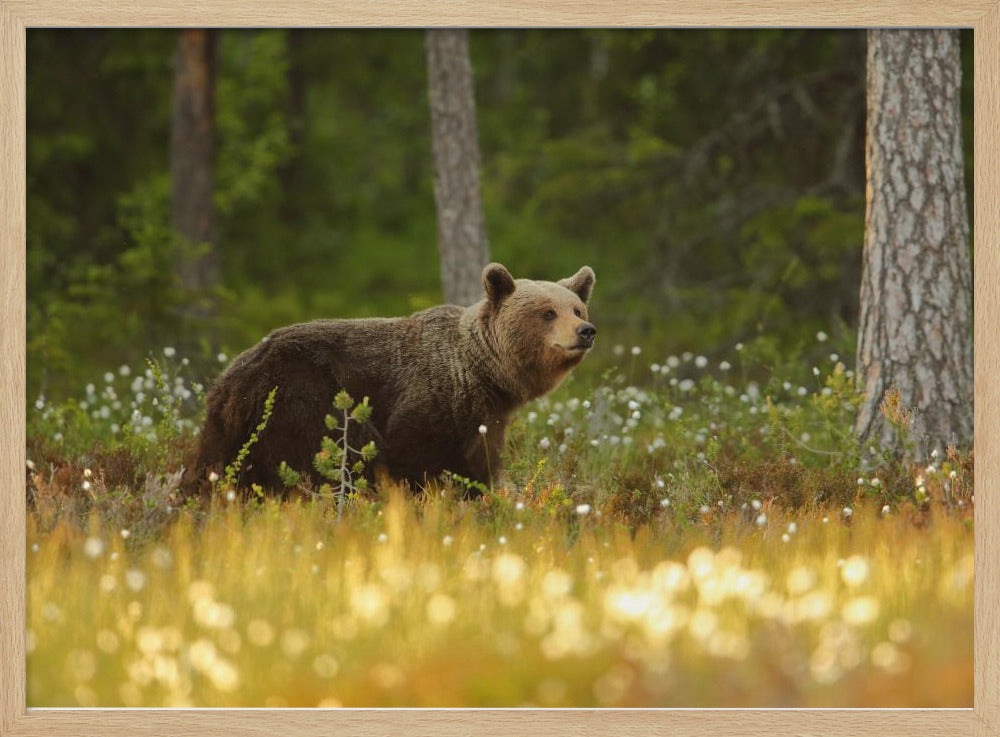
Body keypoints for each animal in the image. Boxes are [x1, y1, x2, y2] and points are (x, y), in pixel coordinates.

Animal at [189, 262, 596, 495]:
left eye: (577, 308)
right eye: (547, 312)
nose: (586, 331)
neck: (482, 374)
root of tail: (233, 375)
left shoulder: (483, 418)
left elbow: (479, 464)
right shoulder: (429, 399)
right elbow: (412, 457)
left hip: (231, 425)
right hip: (302, 397)